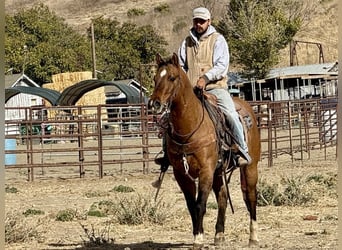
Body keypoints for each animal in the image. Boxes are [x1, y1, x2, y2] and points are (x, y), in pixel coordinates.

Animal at [148, 53, 260, 248]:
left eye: (172, 77)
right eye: (155, 78)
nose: (154, 103)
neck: (190, 126)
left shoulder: (206, 171)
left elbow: (200, 204)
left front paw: (199, 239)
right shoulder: (181, 174)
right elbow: (191, 205)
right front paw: (197, 234)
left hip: (250, 167)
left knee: (251, 197)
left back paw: (253, 236)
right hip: (218, 171)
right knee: (223, 197)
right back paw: (219, 235)